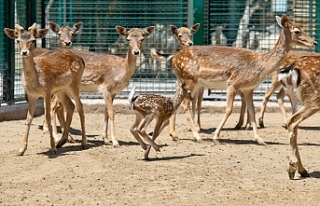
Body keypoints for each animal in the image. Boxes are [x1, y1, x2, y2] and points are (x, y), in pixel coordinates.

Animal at [4, 22, 86, 154]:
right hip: (62, 89)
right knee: (70, 106)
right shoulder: (31, 95)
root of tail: (81, 59)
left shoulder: (47, 91)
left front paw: (52, 147)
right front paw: (21, 149)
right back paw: (62, 141)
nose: (24, 52)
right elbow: (28, 118)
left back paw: (83, 143)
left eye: (33, 40)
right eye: (17, 40)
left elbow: (47, 116)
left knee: (80, 107)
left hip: (75, 84)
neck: (36, 82)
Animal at [151, 14, 316, 145]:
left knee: (175, 101)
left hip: (186, 81)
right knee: (185, 104)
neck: (259, 66)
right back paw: (197, 137)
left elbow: (252, 111)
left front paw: (260, 139)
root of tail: (172, 57)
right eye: (296, 31)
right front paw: (216, 137)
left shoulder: (248, 89)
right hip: (190, 80)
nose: (314, 42)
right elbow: (229, 109)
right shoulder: (232, 83)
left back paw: (169, 135)